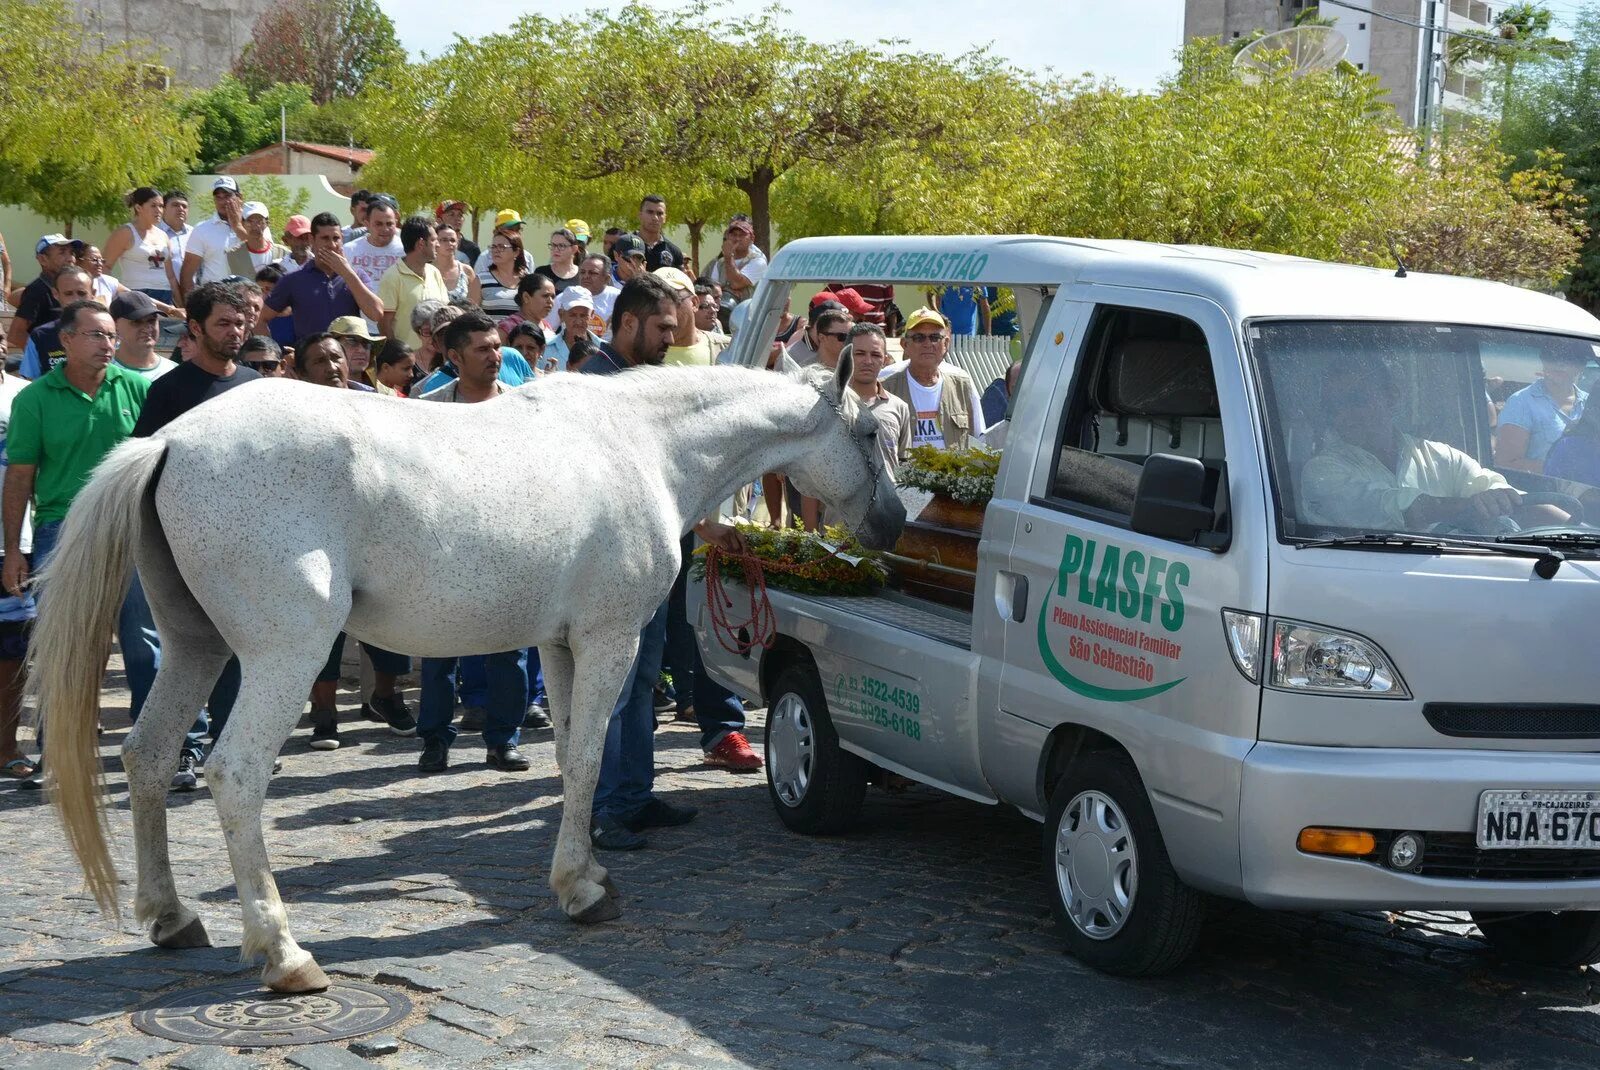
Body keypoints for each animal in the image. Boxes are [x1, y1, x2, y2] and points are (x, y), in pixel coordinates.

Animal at [31, 358, 902, 991]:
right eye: (868, 430)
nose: (894, 521)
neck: (641, 446)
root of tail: (169, 443)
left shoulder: (559, 645)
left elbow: (568, 760)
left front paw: (584, 874)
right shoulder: (609, 638)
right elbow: (592, 758)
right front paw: (583, 892)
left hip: (196, 647)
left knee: (147, 757)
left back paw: (171, 918)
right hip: (284, 656)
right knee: (234, 774)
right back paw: (283, 952)